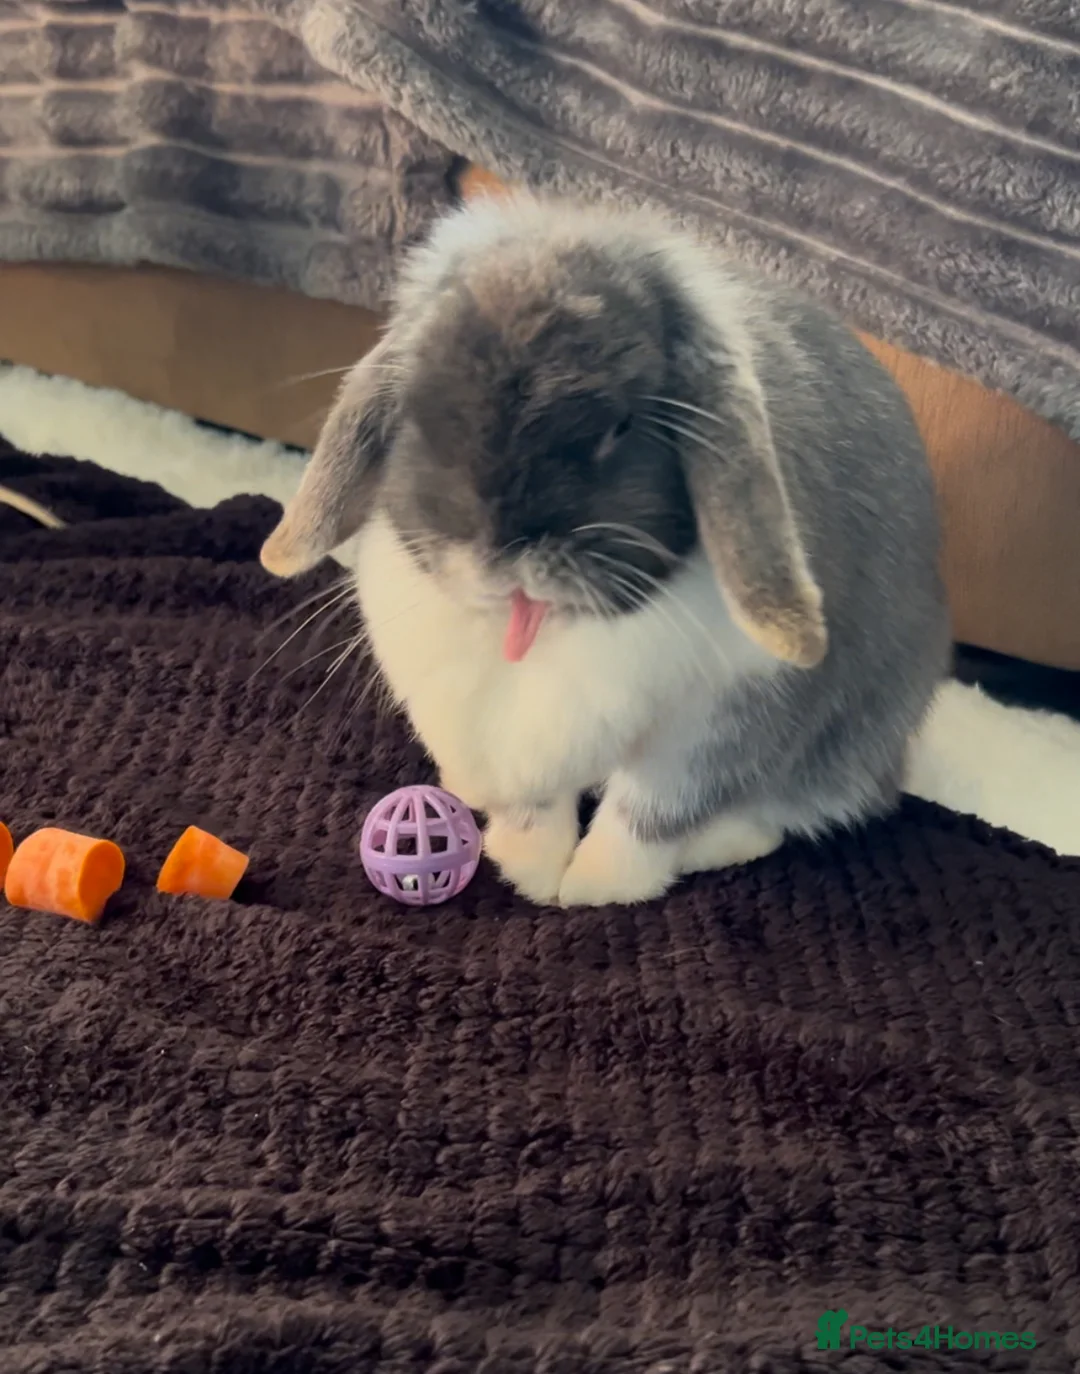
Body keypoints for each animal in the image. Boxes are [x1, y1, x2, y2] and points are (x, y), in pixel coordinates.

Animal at [260, 193, 950, 907]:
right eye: (421, 411)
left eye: (620, 425)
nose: (502, 557)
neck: (551, 632)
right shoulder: (503, 735)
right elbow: (534, 807)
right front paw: (528, 869)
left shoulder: (719, 726)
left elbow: (651, 814)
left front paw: (595, 890)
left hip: (863, 731)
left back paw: (724, 845)